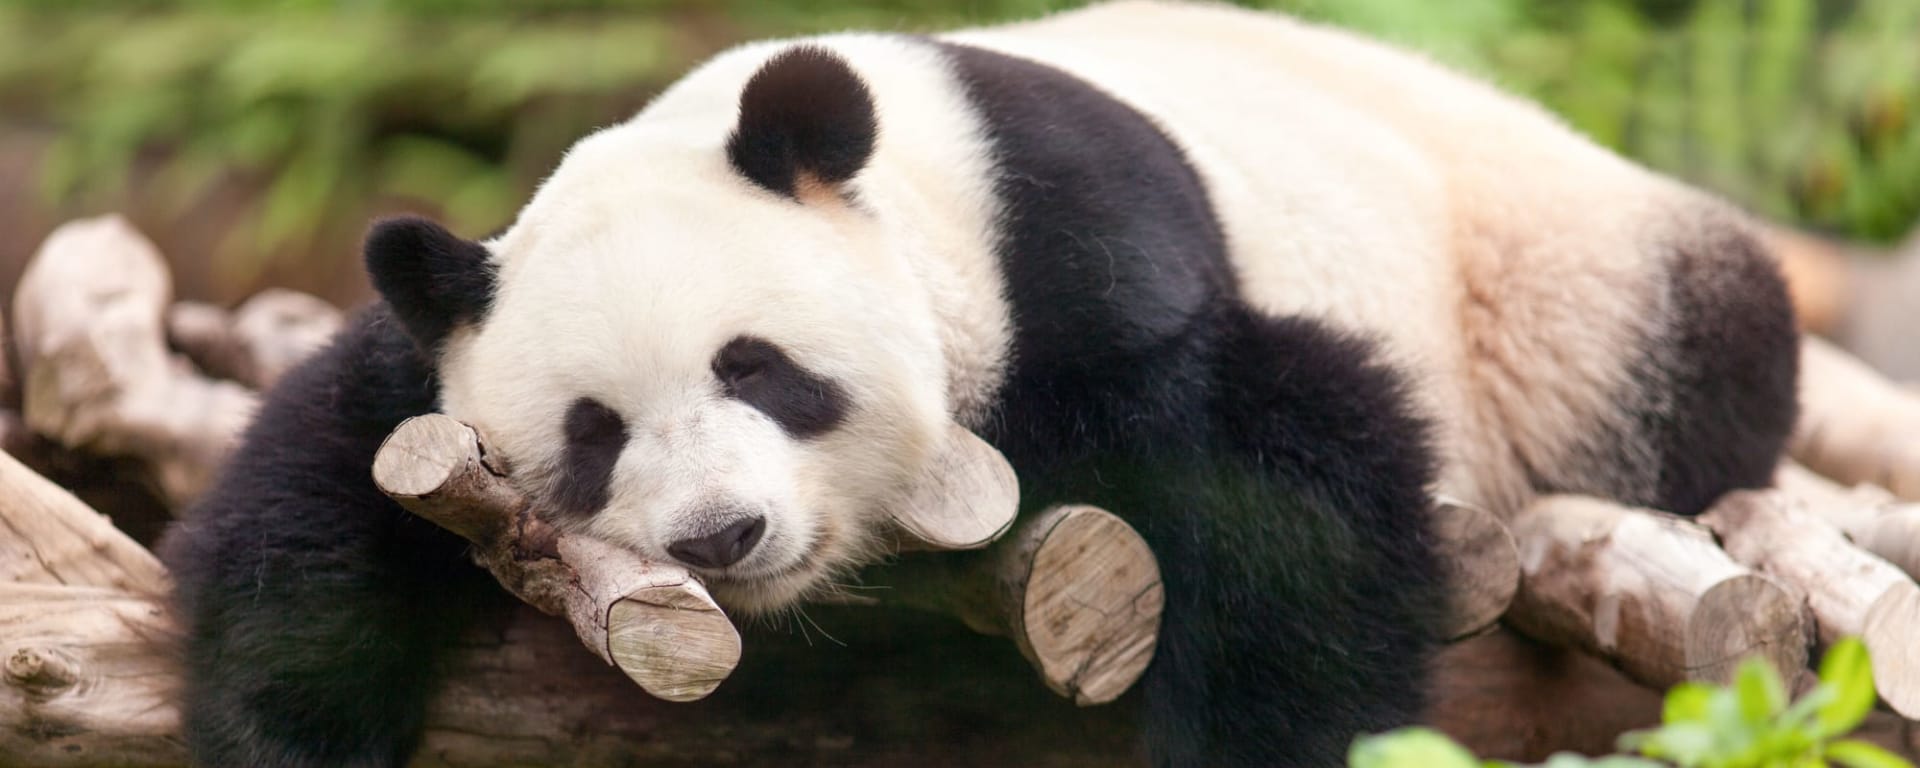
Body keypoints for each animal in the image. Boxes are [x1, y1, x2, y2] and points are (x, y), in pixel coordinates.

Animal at [160, 2, 1799, 766]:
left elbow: (1283, 478)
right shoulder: (451, 327)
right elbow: (328, 471)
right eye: (591, 438)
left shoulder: (1088, 262)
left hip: (1562, 281)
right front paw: (294, 721)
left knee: (1708, 361)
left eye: (763, 370)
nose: (720, 540)